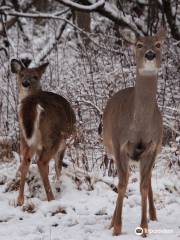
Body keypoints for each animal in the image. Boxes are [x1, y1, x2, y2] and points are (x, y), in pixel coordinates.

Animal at [10, 59, 75, 205]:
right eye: (21, 74)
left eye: (35, 76)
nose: (25, 83)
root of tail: (32, 102)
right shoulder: (64, 144)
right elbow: (58, 166)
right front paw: (59, 184)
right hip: (53, 137)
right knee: (42, 162)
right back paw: (51, 199)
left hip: (25, 138)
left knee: (25, 162)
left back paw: (20, 200)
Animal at [102, 29, 165, 236]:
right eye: (138, 44)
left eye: (158, 44)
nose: (150, 54)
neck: (139, 125)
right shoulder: (119, 144)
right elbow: (122, 183)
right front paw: (116, 227)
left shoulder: (152, 146)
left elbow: (143, 185)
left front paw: (144, 227)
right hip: (111, 147)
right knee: (125, 178)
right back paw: (111, 222)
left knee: (146, 179)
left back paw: (153, 215)